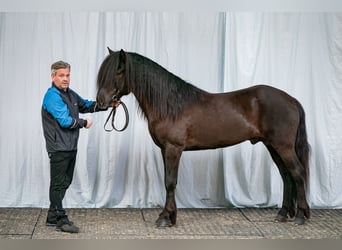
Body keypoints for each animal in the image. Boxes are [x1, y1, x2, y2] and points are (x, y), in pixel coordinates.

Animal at [95, 47, 310, 228]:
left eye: (118, 72)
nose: (101, 102)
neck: (170, 105)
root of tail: (292, 100)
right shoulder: (165, 149)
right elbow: (167, 180)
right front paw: (168, 216)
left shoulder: (173, 148)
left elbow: (170, 182)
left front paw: (166, 218)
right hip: (272, 146)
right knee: (286, 176)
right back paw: (282, 214)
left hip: (283, 146)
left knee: (298, 173)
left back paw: (300, 215)